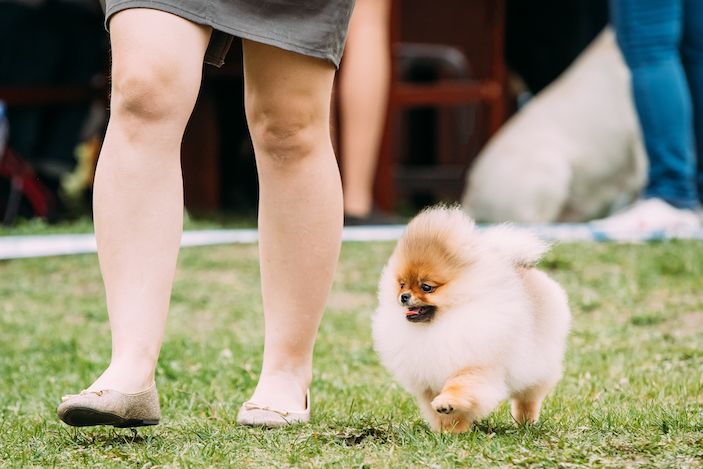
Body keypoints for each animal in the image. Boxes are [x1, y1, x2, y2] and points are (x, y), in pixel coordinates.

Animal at [372, 205, 568, 432]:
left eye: (426, 287)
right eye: (402, 284)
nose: (403, 296)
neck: (443, 322)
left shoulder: (475, 364)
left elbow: (460, 386)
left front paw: (446, 402)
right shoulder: (428, 380)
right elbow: (445, 414)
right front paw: (450, 431)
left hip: (535, 365)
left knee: (528, 398)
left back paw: (525, 422)